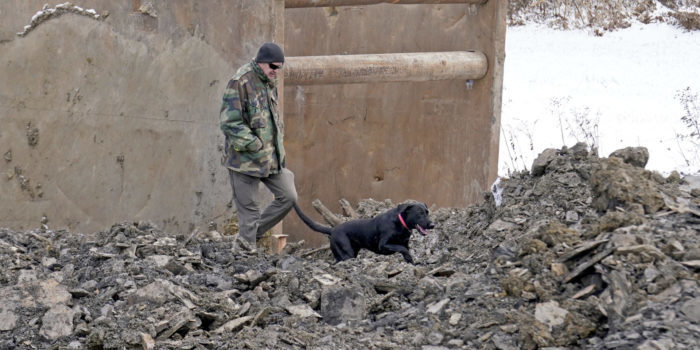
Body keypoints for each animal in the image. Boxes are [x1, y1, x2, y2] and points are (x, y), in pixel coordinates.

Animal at [292, 201, 434, 264]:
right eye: (419, 213)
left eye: (427, 212)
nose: (432, 225)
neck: (400, 223)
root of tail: (333, 229)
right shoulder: (383, 245)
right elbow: (402, 249)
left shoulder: (405, 243)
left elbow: (406, 250)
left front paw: (411, 262)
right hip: (346, 253)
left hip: (350, 253)